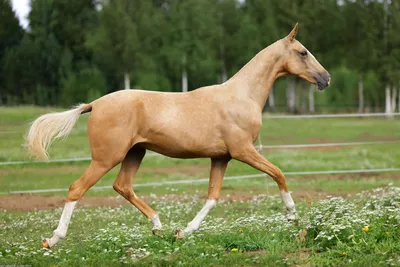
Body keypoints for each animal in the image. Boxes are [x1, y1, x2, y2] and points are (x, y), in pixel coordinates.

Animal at [26, 24, 330, 250]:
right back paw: (52, 240)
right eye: (303, 52)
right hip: (106, 158)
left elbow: (212, 197)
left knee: (123, 186)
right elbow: (279, 173)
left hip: (135, 153)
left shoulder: (221, 158)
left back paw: (159, 227)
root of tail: (94, 104)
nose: (326, 79)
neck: (241, 96)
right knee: (77, 188)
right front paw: (292, 216)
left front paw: (183, 232)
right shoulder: (243, 150)